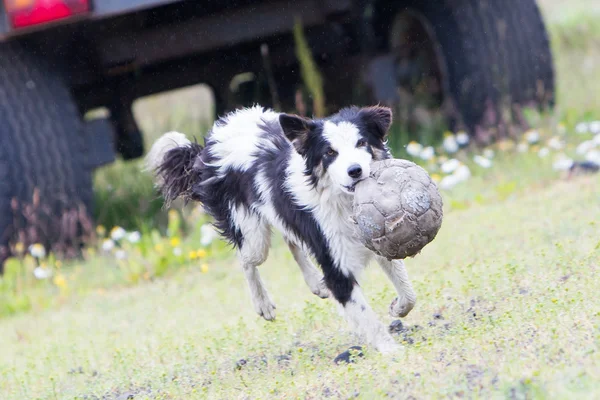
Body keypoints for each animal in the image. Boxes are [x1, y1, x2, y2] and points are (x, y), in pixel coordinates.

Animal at [148, 104, 414, 352]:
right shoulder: (335, 265)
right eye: (330, 152)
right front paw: (391, 352)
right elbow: (367, 317)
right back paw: (262, 303)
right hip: (253, 236)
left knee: (290, 239)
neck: (344, 201)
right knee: (246, 259)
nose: (355, 171)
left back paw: (315, 283)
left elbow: (409, 292)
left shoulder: (380, 239)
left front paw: (398, 308)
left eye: (362, 143)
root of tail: (209, 144)